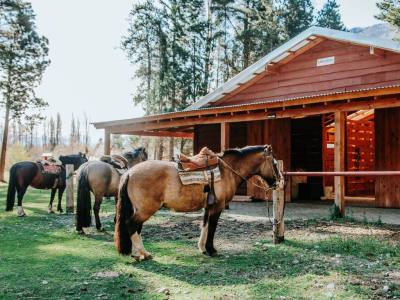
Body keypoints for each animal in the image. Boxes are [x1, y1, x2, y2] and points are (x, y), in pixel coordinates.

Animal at [115, 145, 284, 260]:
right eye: (275, 164)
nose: (280, 182)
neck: (227, 170)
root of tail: (129, 172)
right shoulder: (217, 207)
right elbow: (212, 228)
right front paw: (211, 250)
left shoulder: (208, 207)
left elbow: (205, 226)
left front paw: (202, 248)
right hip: (146, 210)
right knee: (132, 224)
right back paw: (143, 253)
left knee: (135, 227)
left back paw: (138, 253)